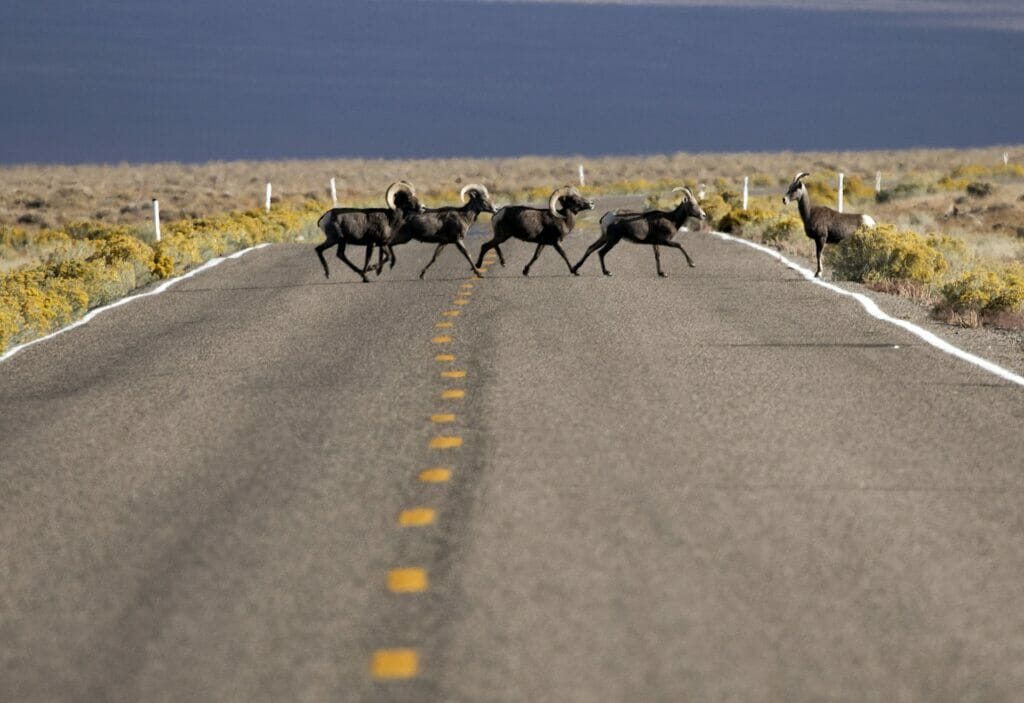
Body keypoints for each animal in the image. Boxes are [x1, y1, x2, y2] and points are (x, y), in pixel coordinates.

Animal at [573, 188, 708, 278]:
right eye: (691, 204)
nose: (703, 215)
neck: (671, 218)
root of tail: (607, 217)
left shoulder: (655, 243)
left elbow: (657, 256)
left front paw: (662, 273)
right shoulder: (664, 241)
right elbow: (680, 245)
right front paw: (692, 264)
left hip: (604, 237)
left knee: (590, 248)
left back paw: (575, 270)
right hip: (613, 239)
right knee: (601, 252)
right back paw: (607, 272)